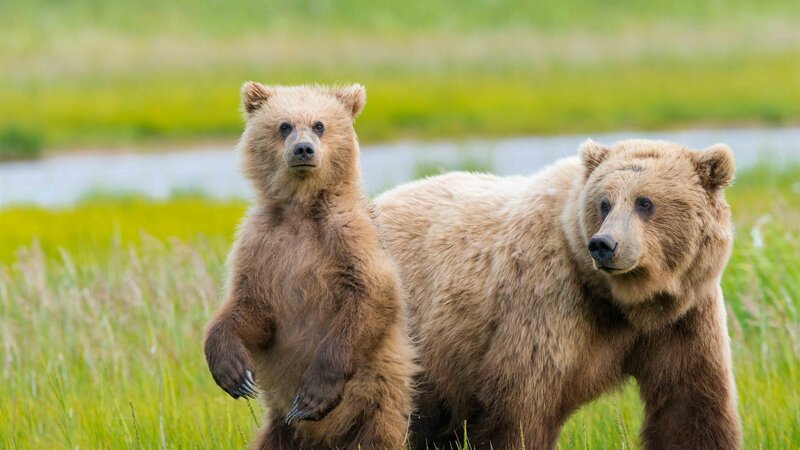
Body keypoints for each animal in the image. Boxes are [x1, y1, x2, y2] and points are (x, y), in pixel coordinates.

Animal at [203, 82, 416, 450]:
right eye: (284, 126)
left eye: (319, 125)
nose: (303, 150)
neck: (300, 208)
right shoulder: (261, 244)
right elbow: (250, 306)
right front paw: (234, 372)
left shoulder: (348, 239)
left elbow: (371, 298)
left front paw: (311, 396)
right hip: (280, 429)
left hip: (375, 406)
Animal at [373, 139, 741, 449]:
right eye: (604, 203)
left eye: (645, 202)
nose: (604, 245)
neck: (626, 302)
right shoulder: (546, 305)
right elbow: (520, 413)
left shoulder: (684, 315)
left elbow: (690, 406)